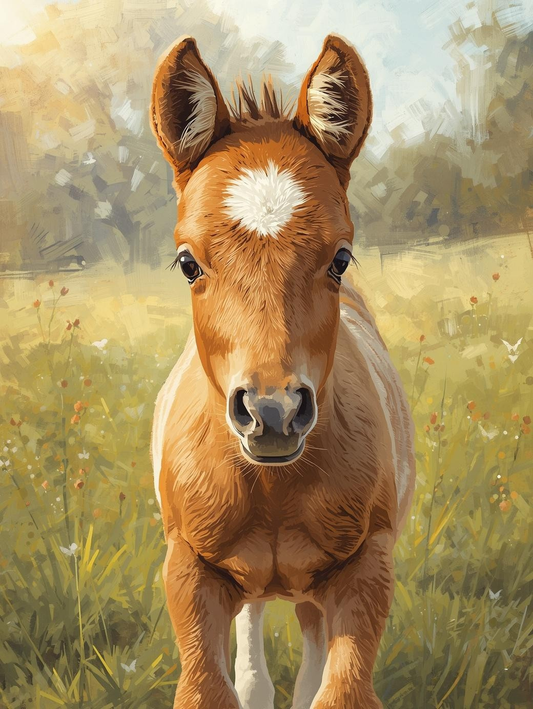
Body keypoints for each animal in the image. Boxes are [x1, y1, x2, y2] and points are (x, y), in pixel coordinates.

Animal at [150, 33, 415, 709]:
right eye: (187, 263)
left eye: (341, 258)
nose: (273, 413)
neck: (273, 490)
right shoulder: (188, 567)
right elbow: (210, 689)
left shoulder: (367, 568)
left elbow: (338, 691)